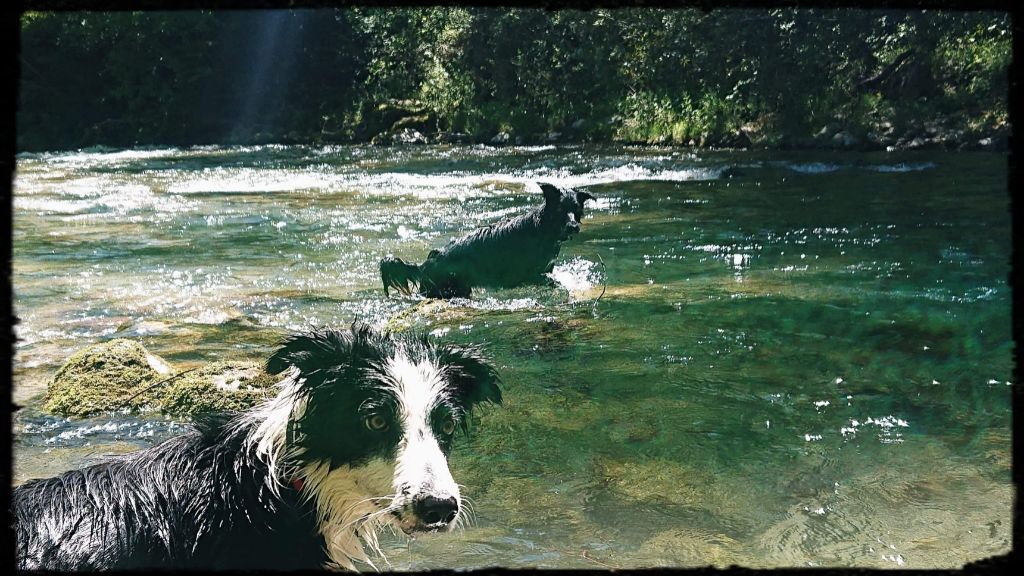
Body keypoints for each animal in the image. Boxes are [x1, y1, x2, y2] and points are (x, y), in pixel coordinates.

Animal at [380, 180, 598, 295]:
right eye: (561, 210)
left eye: (577, 211)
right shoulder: (528, 275)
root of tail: (425, 263)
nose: (573, 227)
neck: (543, 229)